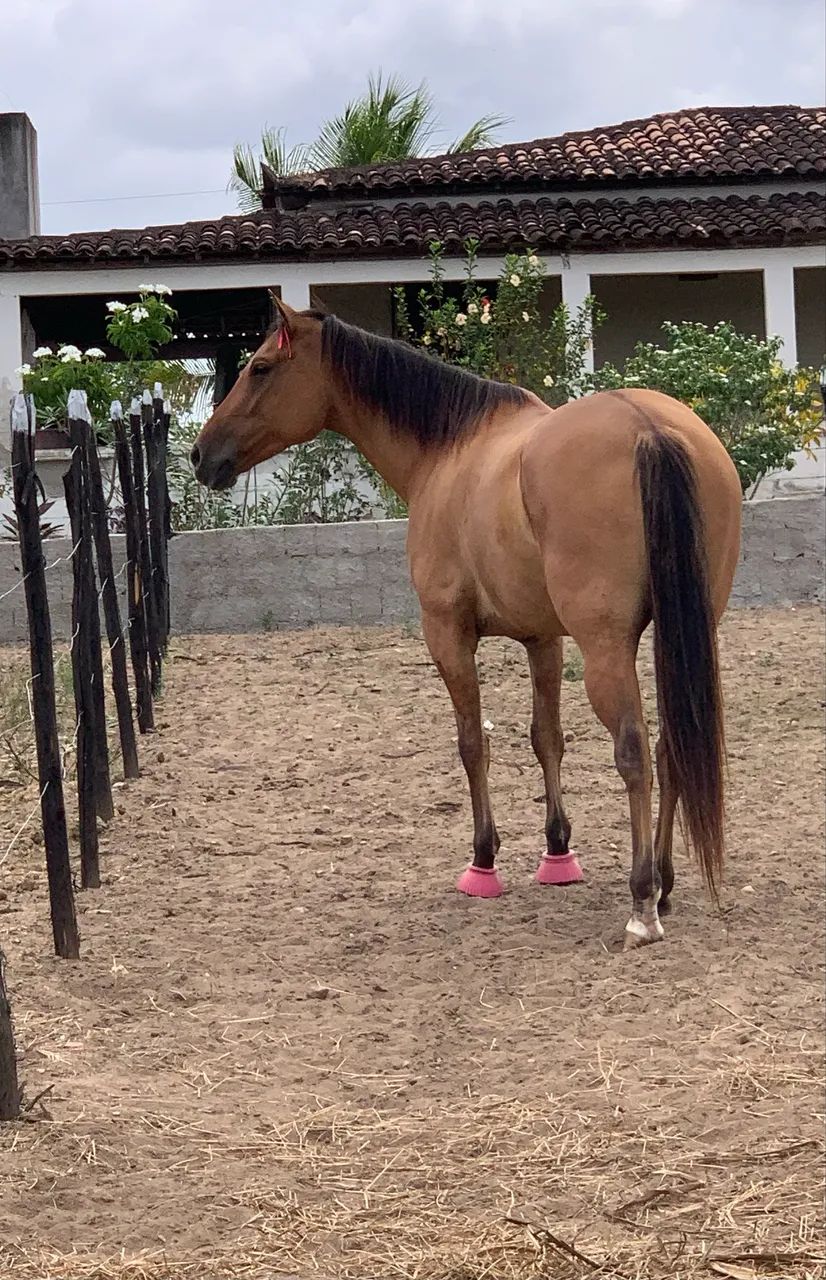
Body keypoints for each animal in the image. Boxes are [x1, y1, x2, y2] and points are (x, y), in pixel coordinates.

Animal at [191, 297, 742, 949]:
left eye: (260, 367)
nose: (201, 455)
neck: (449, 449)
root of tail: (650, 429)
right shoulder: (542, 638)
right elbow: (545, 738)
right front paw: (558, 853)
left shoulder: (447, 634)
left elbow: (472, 742)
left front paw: (484, 861)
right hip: (690, 634)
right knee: (671, 745)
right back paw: (665, 882)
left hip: (606, 648)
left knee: (633, 753)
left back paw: (642, 902)